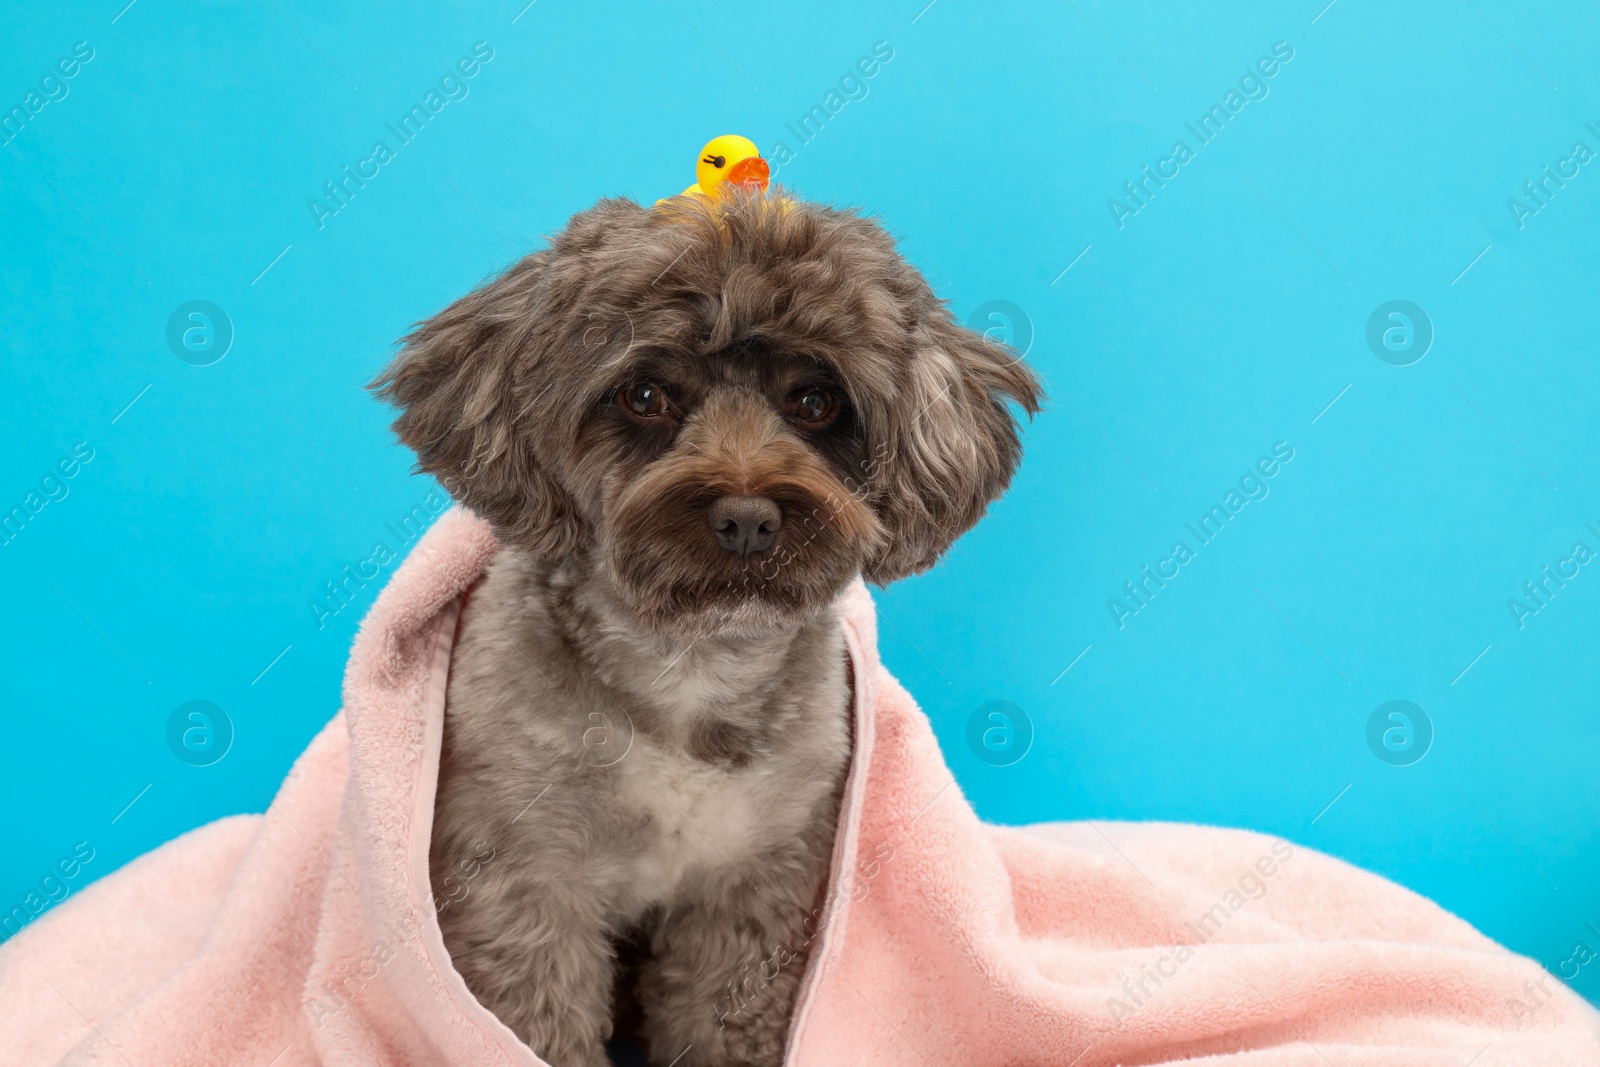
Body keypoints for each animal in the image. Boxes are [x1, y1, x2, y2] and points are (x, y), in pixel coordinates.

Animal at [372, 191, 1043, 1067]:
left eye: (815, 402)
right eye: (645, 396)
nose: (749, 517)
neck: (687, 666)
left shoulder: (755, 889)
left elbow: (722, 1014)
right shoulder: (521, 884)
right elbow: (532, 1021)